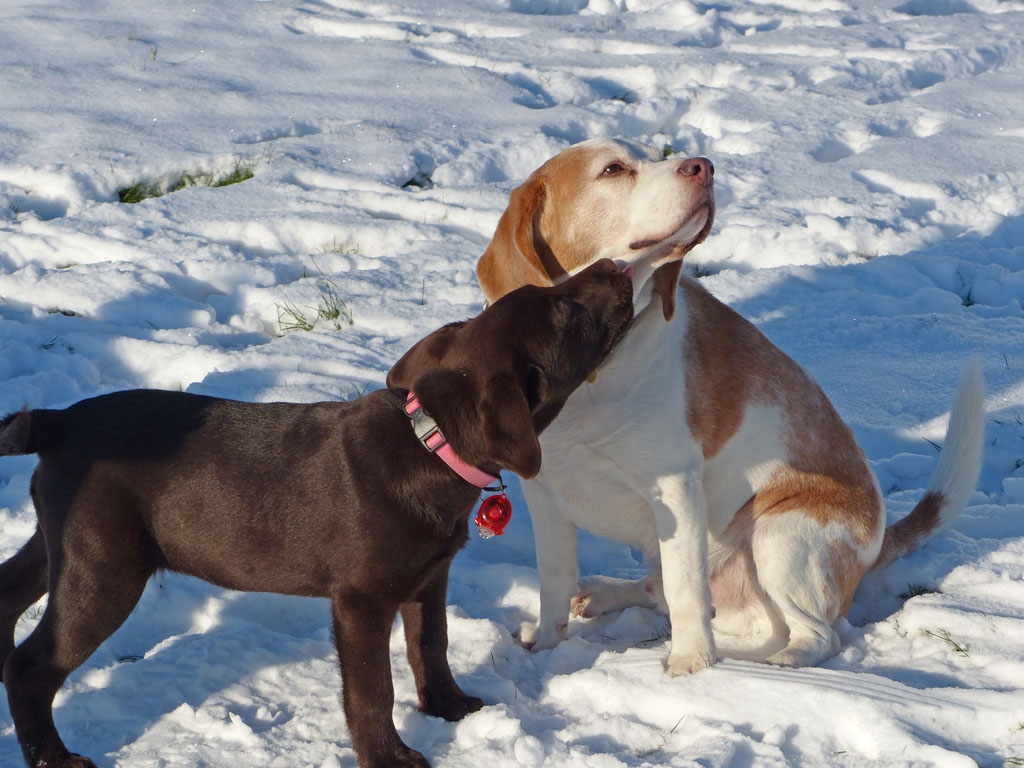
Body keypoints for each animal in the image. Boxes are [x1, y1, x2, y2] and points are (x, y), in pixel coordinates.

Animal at [0, 259, 633, 768]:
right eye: (566, 312)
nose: (618, 266)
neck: (430, 442)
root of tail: (59, 421)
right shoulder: (361, 599)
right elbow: (373, 689)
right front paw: (389, 757)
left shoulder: (428, 580)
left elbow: (431, 646)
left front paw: (450, 707)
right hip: (104, 568)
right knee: (31, 668)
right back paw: (54, 758)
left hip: (63, 544)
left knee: (9, 596)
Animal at [476, 137, 986, 675]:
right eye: (612, 169)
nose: (703, 166)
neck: (590, 365)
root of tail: (879, 538)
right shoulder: (544, 493)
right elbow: (554, 583)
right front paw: (544, 651)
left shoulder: (675, 489)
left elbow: (686, 593)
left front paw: (690, 667)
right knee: (656, 588)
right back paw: (602, 594)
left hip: (777, 537)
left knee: (815, 634)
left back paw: (774, 665)